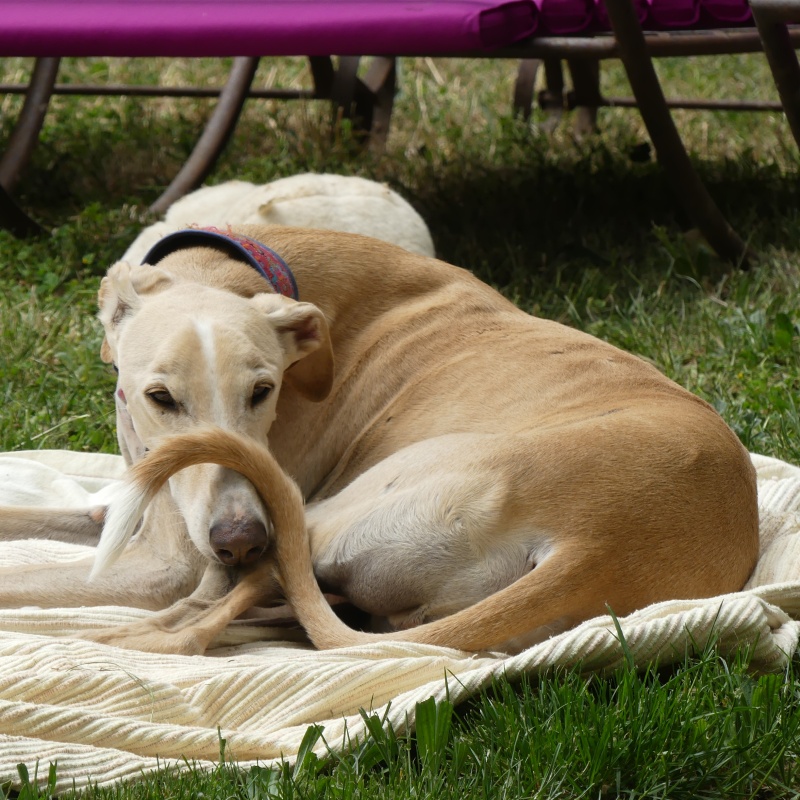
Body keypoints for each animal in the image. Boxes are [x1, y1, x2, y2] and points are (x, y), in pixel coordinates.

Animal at [0, 227, 760, 656]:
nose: (239, 537)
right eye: (159, 398)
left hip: (329, 516)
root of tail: (597, 544)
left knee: (190, 624)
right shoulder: (128, 507)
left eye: (264, 391)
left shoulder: (171, 563)